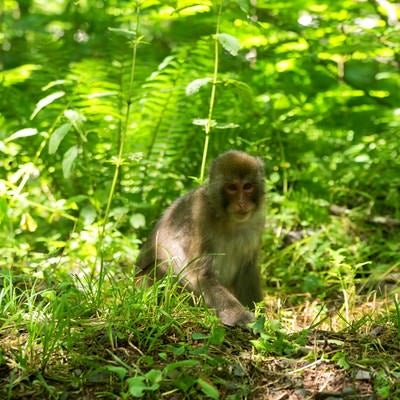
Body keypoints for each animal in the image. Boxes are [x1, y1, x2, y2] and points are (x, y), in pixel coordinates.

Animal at [138, 152, 266, 326]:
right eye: (232, 188)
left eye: (247, 186)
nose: (241, 203)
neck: (229, 221)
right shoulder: (201, 215)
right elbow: (203, 275)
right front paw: (241, 317)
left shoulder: (257, 223)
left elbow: (247, 270)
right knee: (163, 266)